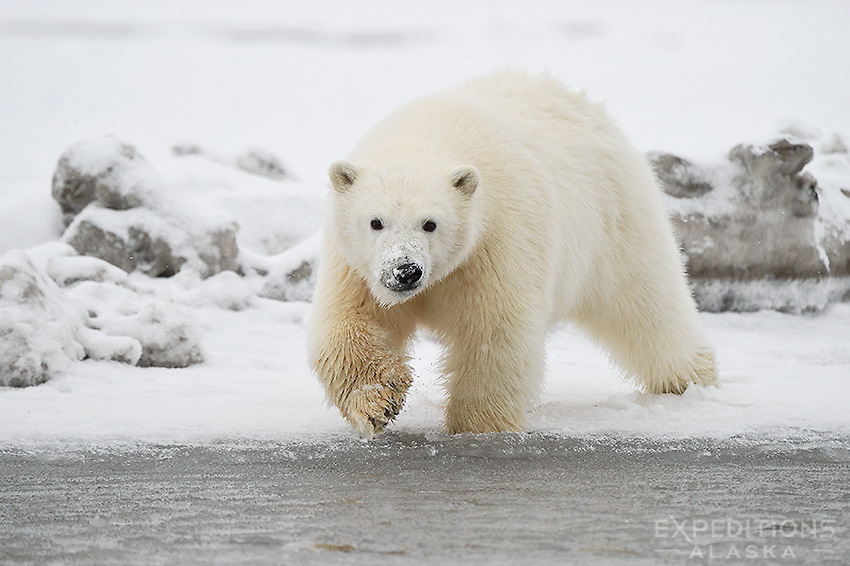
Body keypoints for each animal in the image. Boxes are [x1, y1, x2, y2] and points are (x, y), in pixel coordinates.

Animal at [306, 71, 716, 440]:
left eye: (430, 224)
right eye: (375, 222)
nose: (405, 271)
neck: (427, 137)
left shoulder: (497, 242)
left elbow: (494, 333)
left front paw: (476, 426)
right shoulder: (353, 266)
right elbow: (348, 322)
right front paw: (378, 401)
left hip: (615, 224)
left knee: (648, 306)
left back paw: (692, 381)